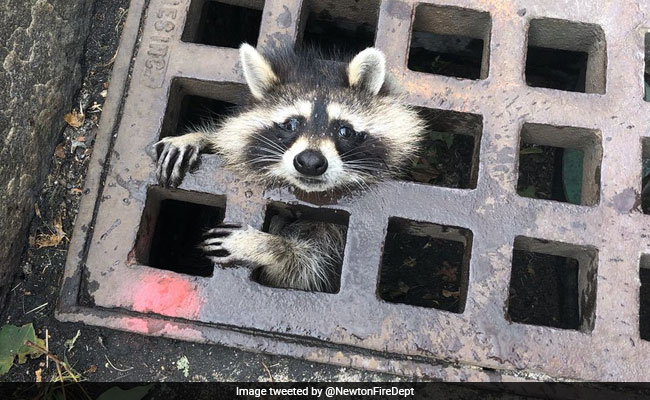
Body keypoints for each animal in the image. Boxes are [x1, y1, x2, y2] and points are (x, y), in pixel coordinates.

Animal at [154, 44, 426, 292]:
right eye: (291, 124)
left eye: (344, 130)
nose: (310, 162)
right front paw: (199, 137)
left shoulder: (333, 240)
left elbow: (304, 268)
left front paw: (268, 246)